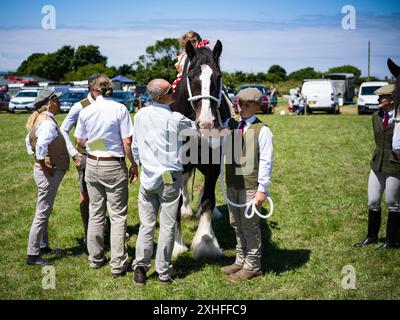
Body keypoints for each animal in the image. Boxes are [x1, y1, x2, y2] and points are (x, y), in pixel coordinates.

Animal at [170, 40, 233, 260]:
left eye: (218, 76)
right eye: (191, 76)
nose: (206, 123)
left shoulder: (213, 166)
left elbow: (208, 201)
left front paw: (206, 243)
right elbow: (176, 202)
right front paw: (176, 245)